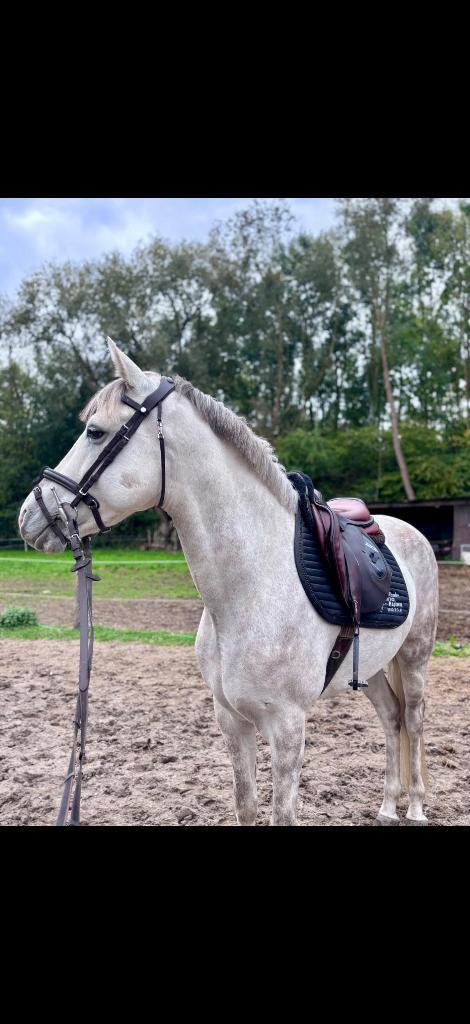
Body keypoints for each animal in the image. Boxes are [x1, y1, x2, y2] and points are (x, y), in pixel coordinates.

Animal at [19, 338, 439, 826]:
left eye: (95, 432)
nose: (30, 515)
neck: (250, 590)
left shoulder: (288, 726)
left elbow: (282, 813)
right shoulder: (231, 720)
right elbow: (245, 804)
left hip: (414, 659)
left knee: (413, 721)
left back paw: (415, 807)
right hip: (371, 668)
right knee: (392, 719)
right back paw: (388, 807)